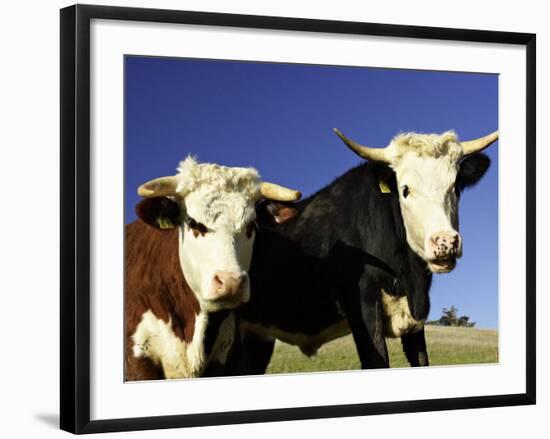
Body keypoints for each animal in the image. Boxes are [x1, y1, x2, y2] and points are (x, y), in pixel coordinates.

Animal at [229, 129, 500, 372]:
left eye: (456, 187)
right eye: (405, 189)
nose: (445, 242)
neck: (408, 276)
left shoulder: (415, 318)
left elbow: (422, 361)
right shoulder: (364, 306)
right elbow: (377, 361)